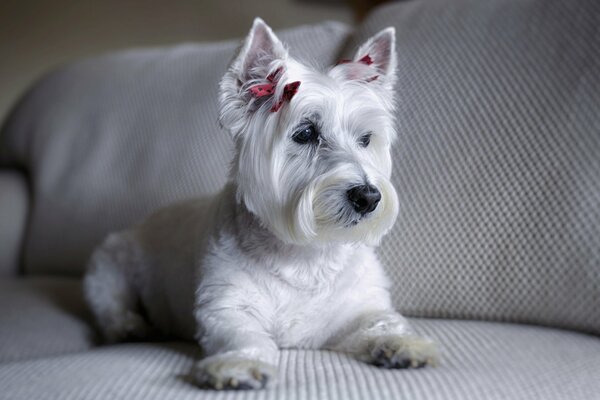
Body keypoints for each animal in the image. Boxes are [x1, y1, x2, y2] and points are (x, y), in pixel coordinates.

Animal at [84, 17, 438, 390]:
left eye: (366, 139)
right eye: (305, 133)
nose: (368, 197)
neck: (306, 253)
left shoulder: (361, 305)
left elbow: (384, 320)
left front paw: (405, 344)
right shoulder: (225, 306)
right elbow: (243, 336)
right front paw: (240, 364)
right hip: (108, 265)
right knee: (110, 305)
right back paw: (129, 327)